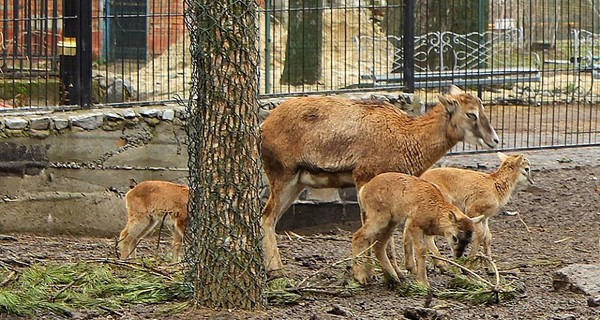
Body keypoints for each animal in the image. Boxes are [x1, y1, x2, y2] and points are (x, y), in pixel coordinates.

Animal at [352, 172, 482, 284]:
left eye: (468, 240)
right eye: (455, 237)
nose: (458, 254)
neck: (435, 208)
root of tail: (364, 190)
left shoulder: (415, 227)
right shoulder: (414, 225)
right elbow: (421, 250)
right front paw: (423, 282)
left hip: (391, 223)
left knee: (378, 245)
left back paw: (394, 279)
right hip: (380, 219)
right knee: (359, 236)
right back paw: (361, 277)